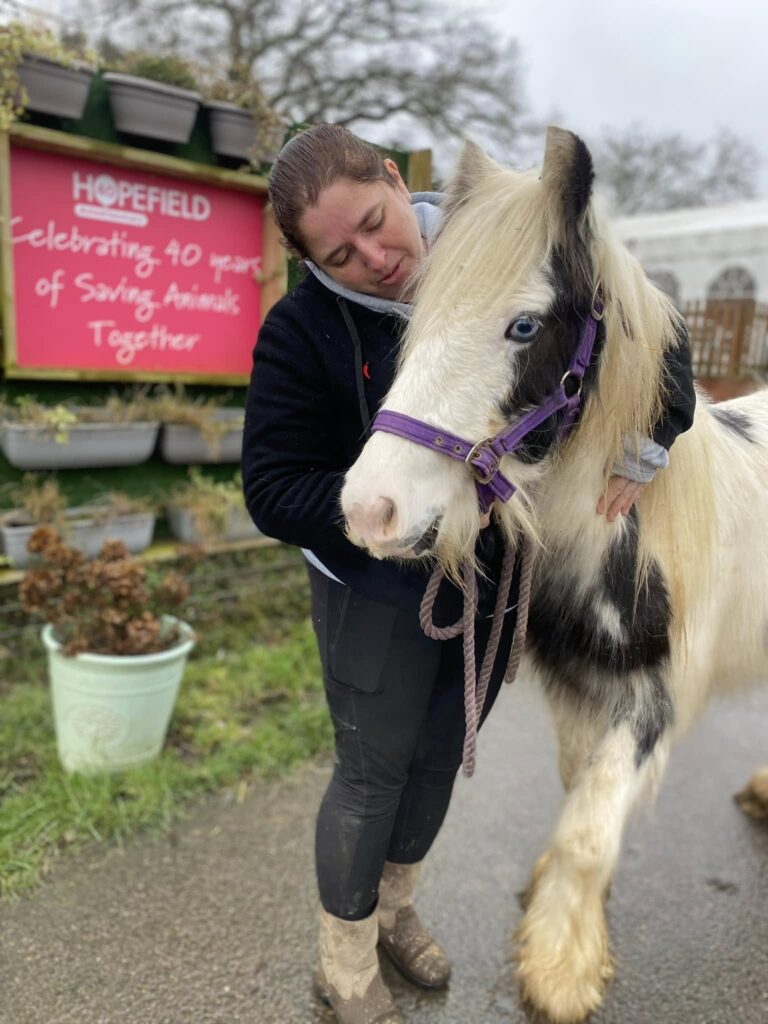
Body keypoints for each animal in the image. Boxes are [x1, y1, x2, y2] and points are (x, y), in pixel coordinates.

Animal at [339, 127, 768, 1023]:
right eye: (417, 320)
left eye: (525, 325)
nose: (370, 509)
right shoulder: (579, 688)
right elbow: (579, 795)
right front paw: (565, 920)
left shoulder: (652, 705)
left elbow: (589, 830)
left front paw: (560, 969)